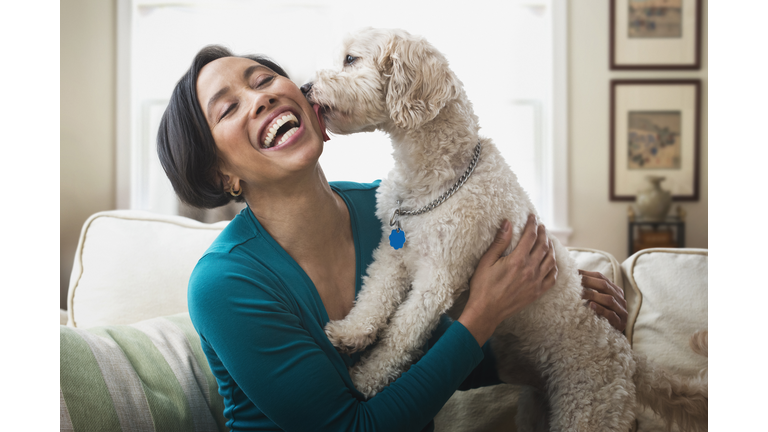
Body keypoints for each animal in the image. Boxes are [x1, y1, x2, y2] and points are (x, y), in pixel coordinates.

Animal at [302, 27, 708, 432]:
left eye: (350, 59)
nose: (305, 87)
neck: (436, 176)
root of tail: (629, 356)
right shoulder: (393, 253)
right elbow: (373, 298)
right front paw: (350, 334)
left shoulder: (439, 277)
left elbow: (400, 335)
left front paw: (364, 380)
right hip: (534, 409)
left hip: (587, 408)